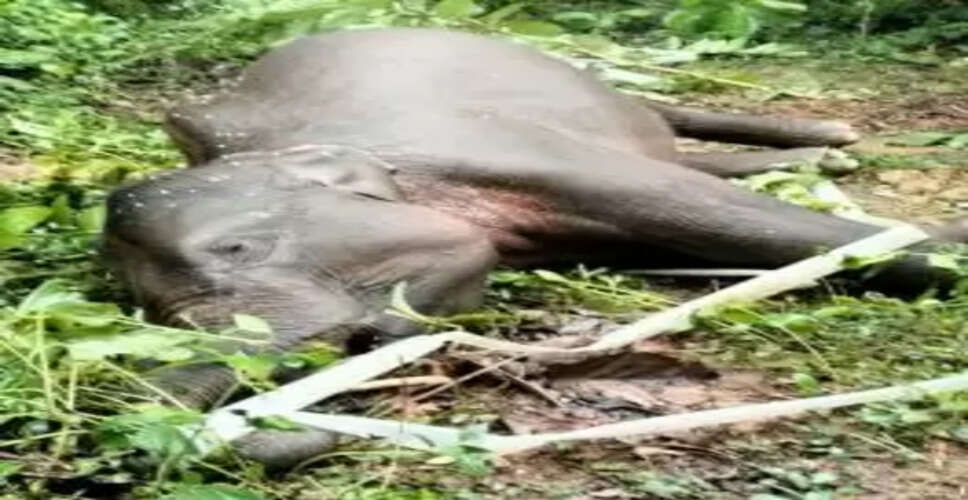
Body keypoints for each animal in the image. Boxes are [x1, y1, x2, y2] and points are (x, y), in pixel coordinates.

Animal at [101, 27, 968, 468]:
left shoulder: (505, 150)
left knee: (663, 119)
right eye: (151, 310)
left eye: (238, 248)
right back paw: (823, 155)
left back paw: (832, 138)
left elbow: (747, 224)